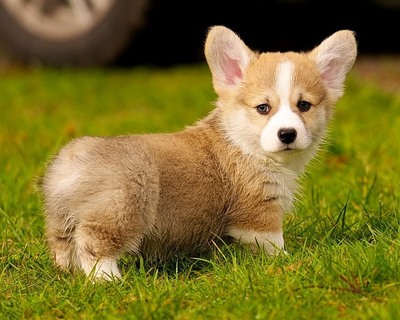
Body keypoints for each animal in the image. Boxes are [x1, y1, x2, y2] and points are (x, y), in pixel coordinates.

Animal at [40, 25, 358, 280]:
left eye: (304, 105)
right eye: (263, 108)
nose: (287, 134)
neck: (245, 146)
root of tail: (67, 164)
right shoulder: (259, 214)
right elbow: (274, 245)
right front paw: (290, 262)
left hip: (61, 219)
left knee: (64, 246)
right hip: (124, 204)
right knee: (93, 245)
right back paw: (109, 280)